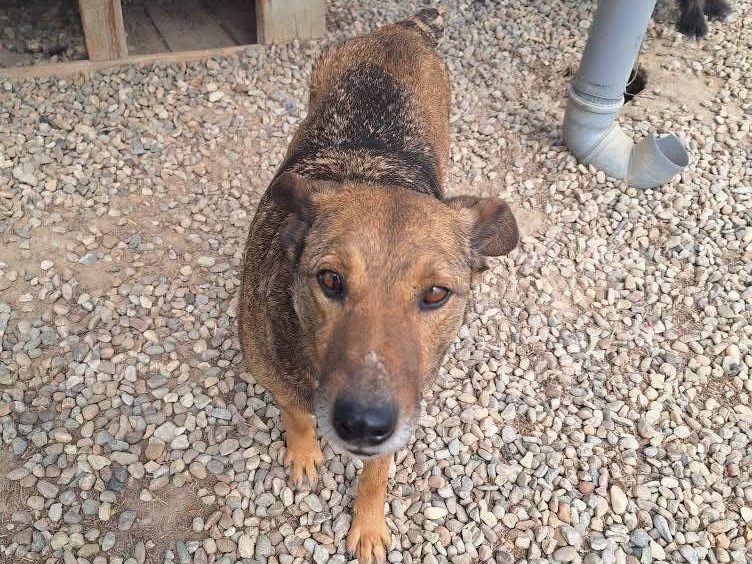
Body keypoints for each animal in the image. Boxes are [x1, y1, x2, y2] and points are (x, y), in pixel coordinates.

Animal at [238, 6, 519, 563]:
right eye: (329, 280)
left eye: (435, 294)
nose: (364, 424)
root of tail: (402, 30)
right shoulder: (267, 368)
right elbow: (295, 412)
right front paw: (304, 450)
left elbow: (377, 471)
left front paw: (367, 523)